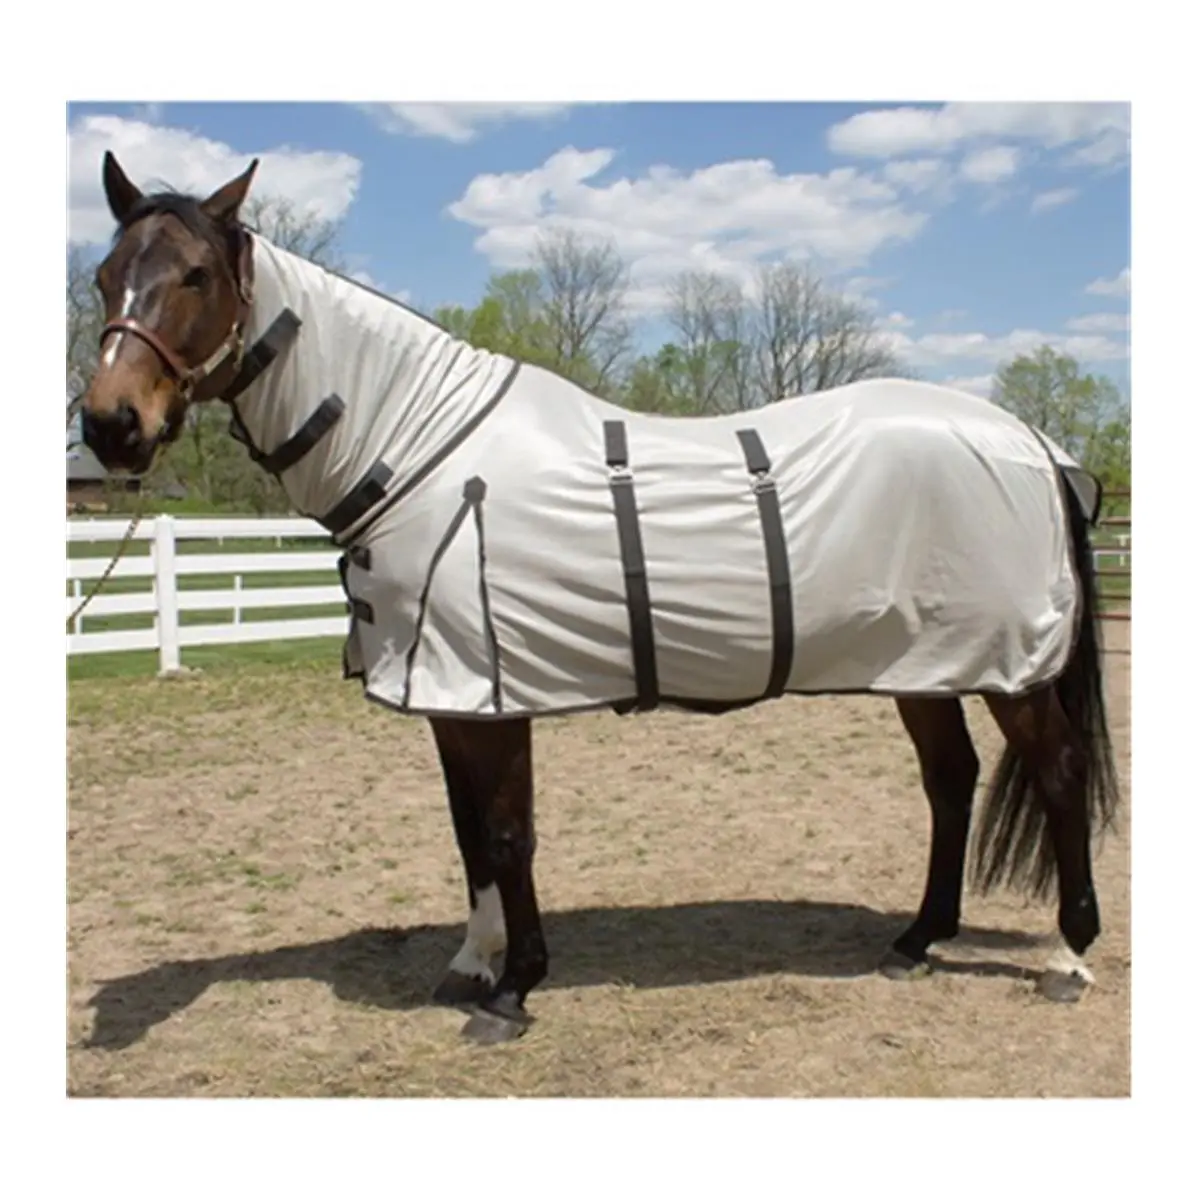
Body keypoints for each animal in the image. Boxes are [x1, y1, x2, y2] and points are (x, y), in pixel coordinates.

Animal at [78, 152, 1120, 1046]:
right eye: (103, 275)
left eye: (196, 275)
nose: (110, 425)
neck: (419, 447)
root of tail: (1036, 445)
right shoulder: (451, 700)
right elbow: (467, 834)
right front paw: (473, 963)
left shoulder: (494, 695)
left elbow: (507, 836)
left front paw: (515, 990)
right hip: (922, 663)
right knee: (950, 781)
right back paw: (916, 940)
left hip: (1016, 671)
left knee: (1060, 775)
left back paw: (1068, 957)